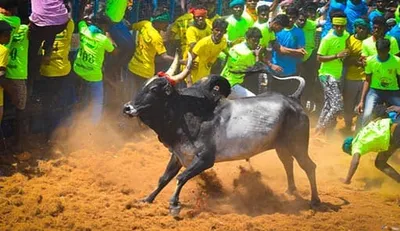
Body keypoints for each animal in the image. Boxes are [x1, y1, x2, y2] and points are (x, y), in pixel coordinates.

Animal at [123, 73, 320, 216]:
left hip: (298, 146)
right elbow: (164, 178)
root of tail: (293, 99)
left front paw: (174, 204)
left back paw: (315, 201)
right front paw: (147, 199)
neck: (187, 115)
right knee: (288, 163)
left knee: (309, 166)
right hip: (282, 147)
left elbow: (181, 178)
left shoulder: (205, 160)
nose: (127, 107)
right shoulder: (178, 155)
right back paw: (290, 190)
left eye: (154, 89)